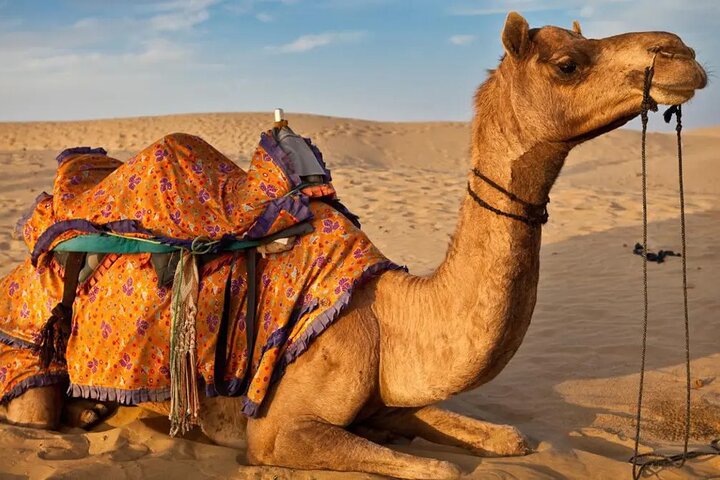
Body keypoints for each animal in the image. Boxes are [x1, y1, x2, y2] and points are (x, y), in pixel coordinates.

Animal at [0, 11, 708, 479]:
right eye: (567, 64)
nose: (681, 50)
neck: (391, 318)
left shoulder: (385, 402)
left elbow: (507, 439)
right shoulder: (278, 431)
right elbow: (442, 470)